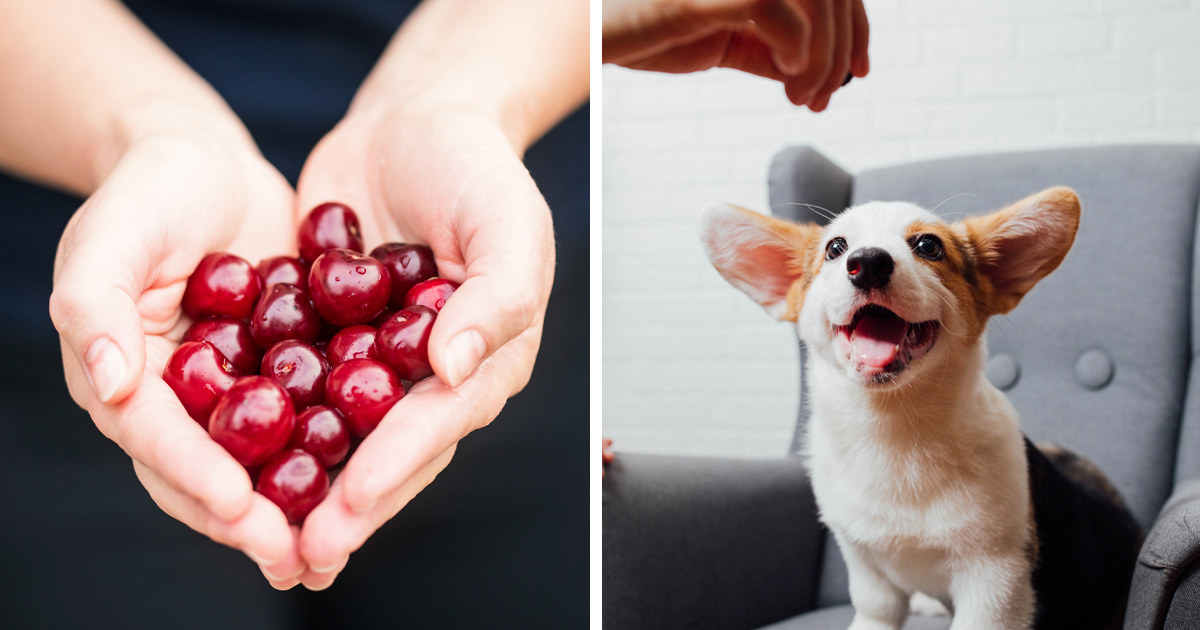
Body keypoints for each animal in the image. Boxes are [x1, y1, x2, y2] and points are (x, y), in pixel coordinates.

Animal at [700, 188, 1142, 628]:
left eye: (929, 246)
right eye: (836, 248)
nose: (868, 263)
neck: (893, 428)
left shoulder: (993, 581)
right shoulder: (866, 568)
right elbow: (875, 611)